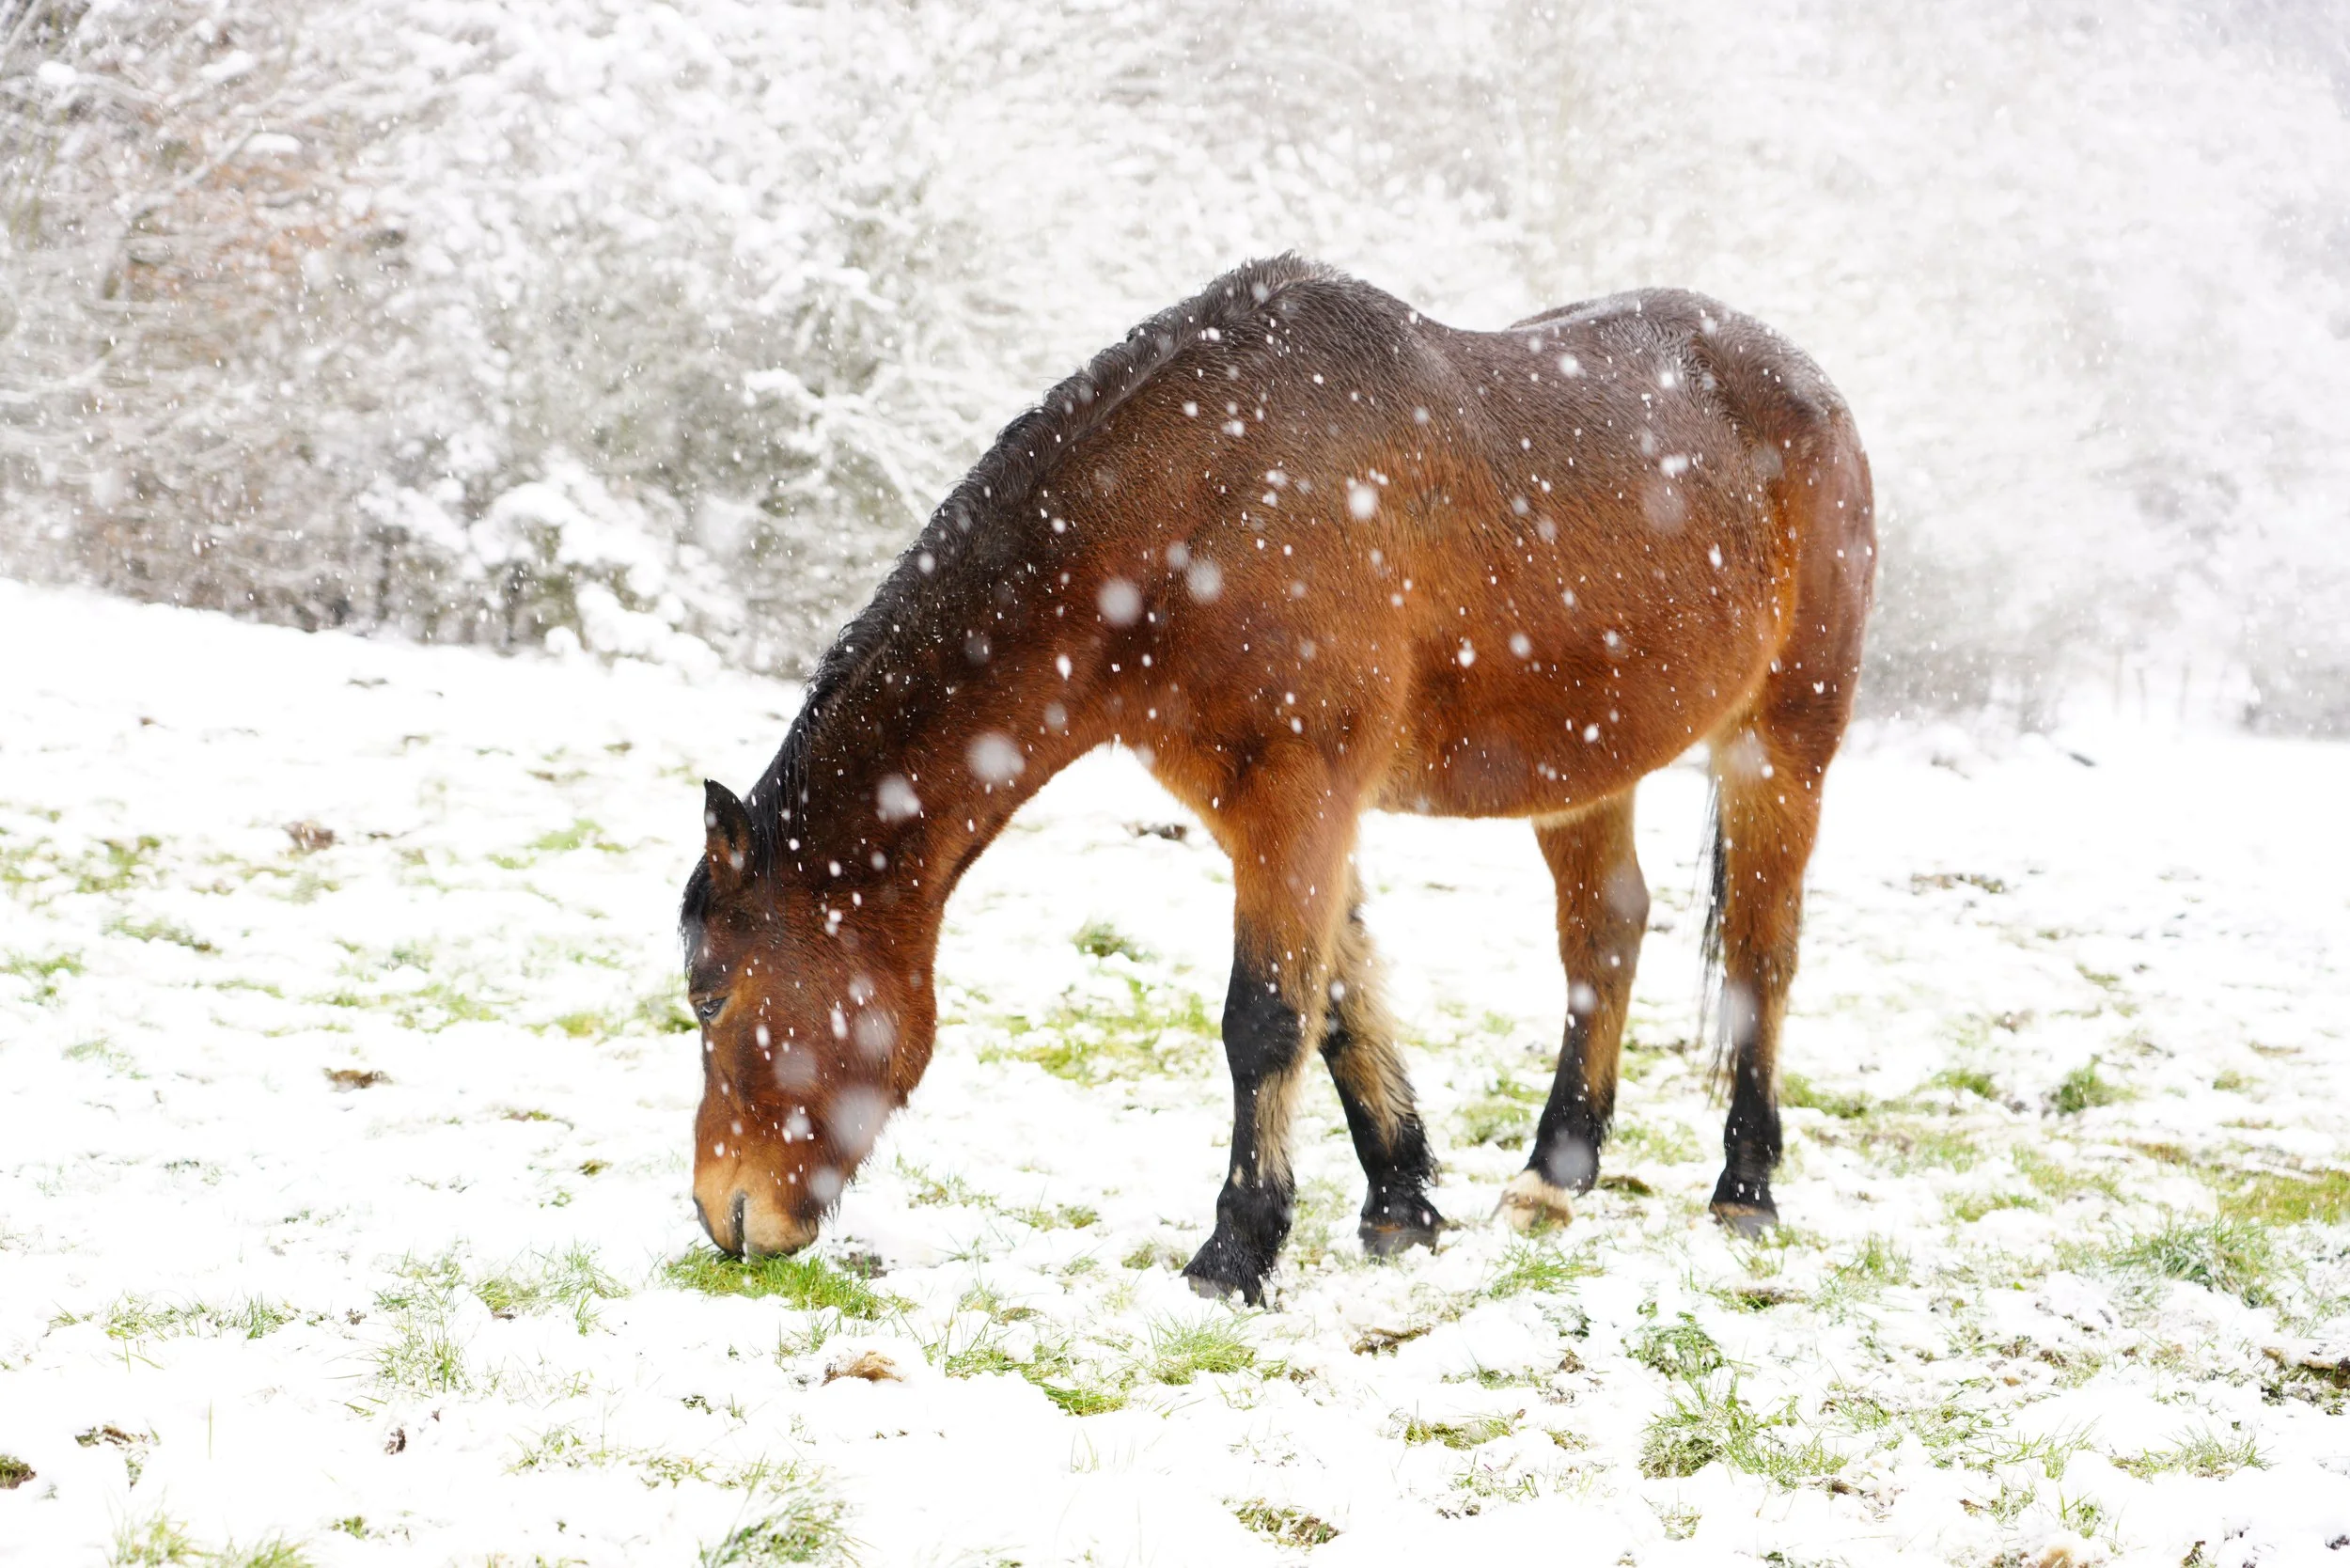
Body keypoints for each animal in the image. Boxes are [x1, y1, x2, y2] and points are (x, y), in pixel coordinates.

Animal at [680, 255, 1874, 1304]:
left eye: (709, 990)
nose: (726, 1214)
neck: (1206, 497)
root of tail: (1810, 386)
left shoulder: (1297, 798)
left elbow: (1265, 1020)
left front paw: (1234, 1254)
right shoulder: (1268, 813)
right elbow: (1338, 1003)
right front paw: (1400, 1203)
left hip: (1782, 745)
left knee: (1761, 953)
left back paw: (1744, 1186)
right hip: (1582, 767)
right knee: (1604, 934)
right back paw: (1552, 1178)